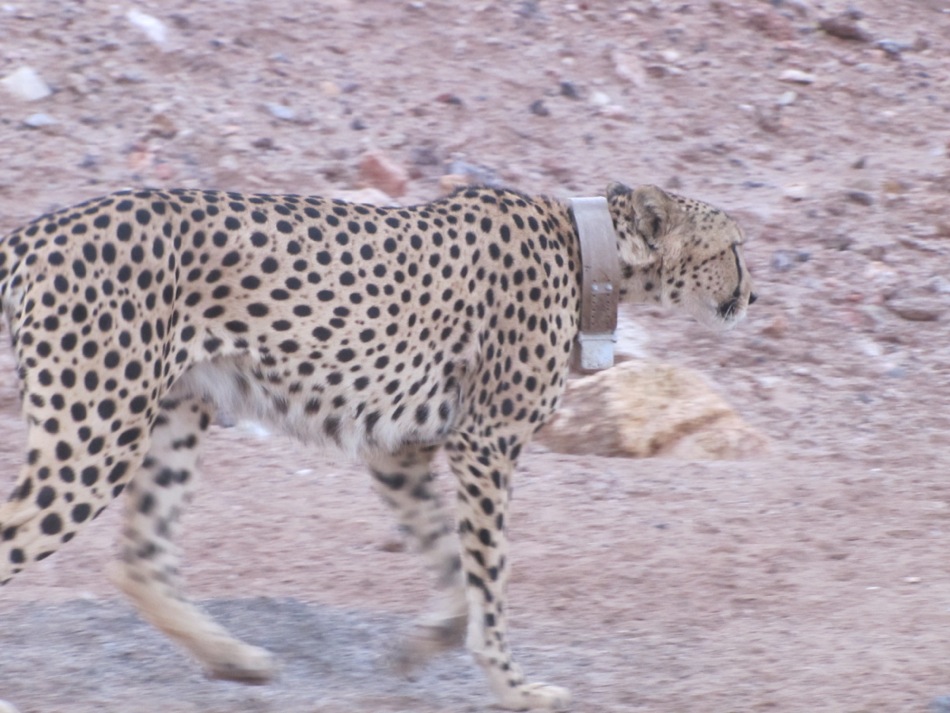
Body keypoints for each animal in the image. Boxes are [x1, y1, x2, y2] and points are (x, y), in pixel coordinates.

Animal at [0, 181, 755, 711]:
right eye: (733, 247)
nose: (752, 295)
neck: (591, 252)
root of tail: (39, 227)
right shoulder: (485, 443)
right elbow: (491, 571)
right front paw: (513, 686)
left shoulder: (401, 447)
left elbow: (453, 562)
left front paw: (420, 646)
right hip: (94, 436)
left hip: (172, 414)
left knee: (141, 558)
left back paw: (235, 659)